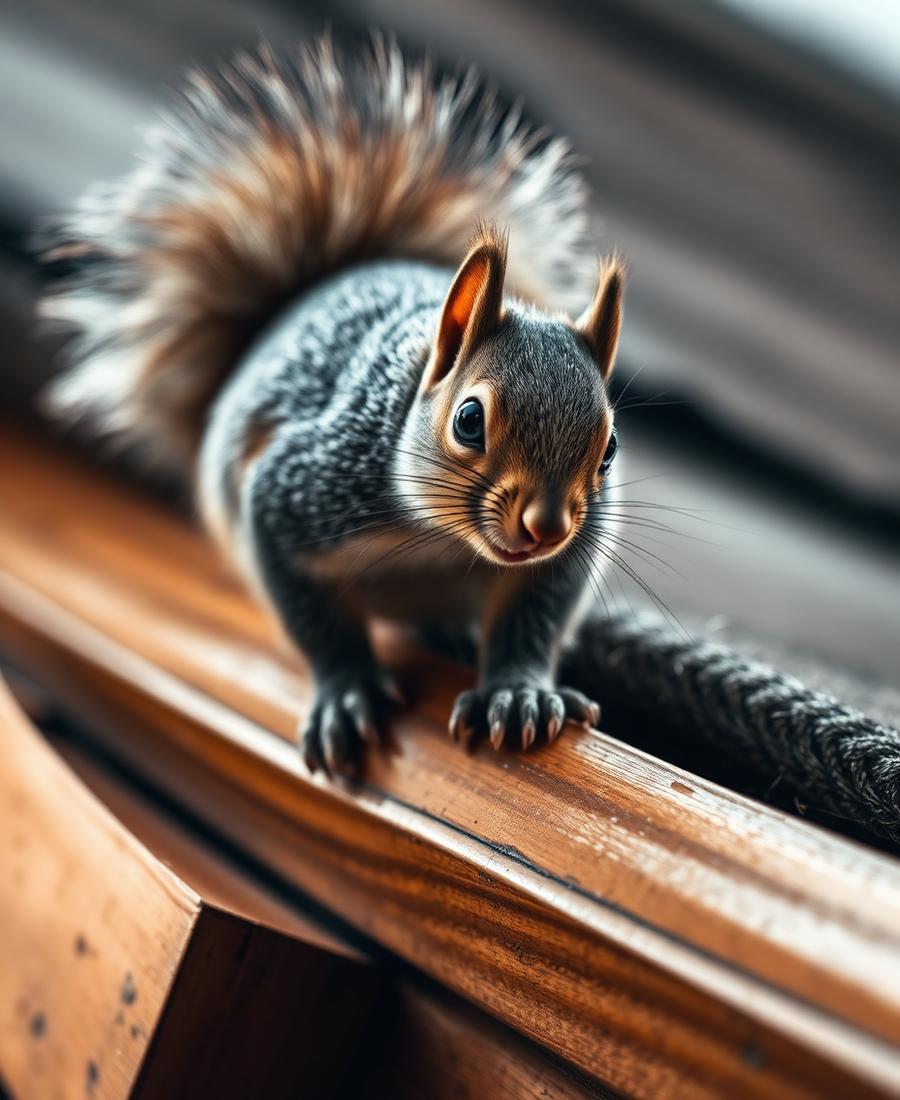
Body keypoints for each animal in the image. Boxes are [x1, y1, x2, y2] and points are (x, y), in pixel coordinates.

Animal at [40, 37, 624, 777]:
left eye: (609, 449)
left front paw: (516, 690)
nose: (546, 527)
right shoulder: (298, 489)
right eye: (468, 421)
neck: (441, 544)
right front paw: (346, 693)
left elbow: (537, 612)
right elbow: (313, 614)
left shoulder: (566, 551)